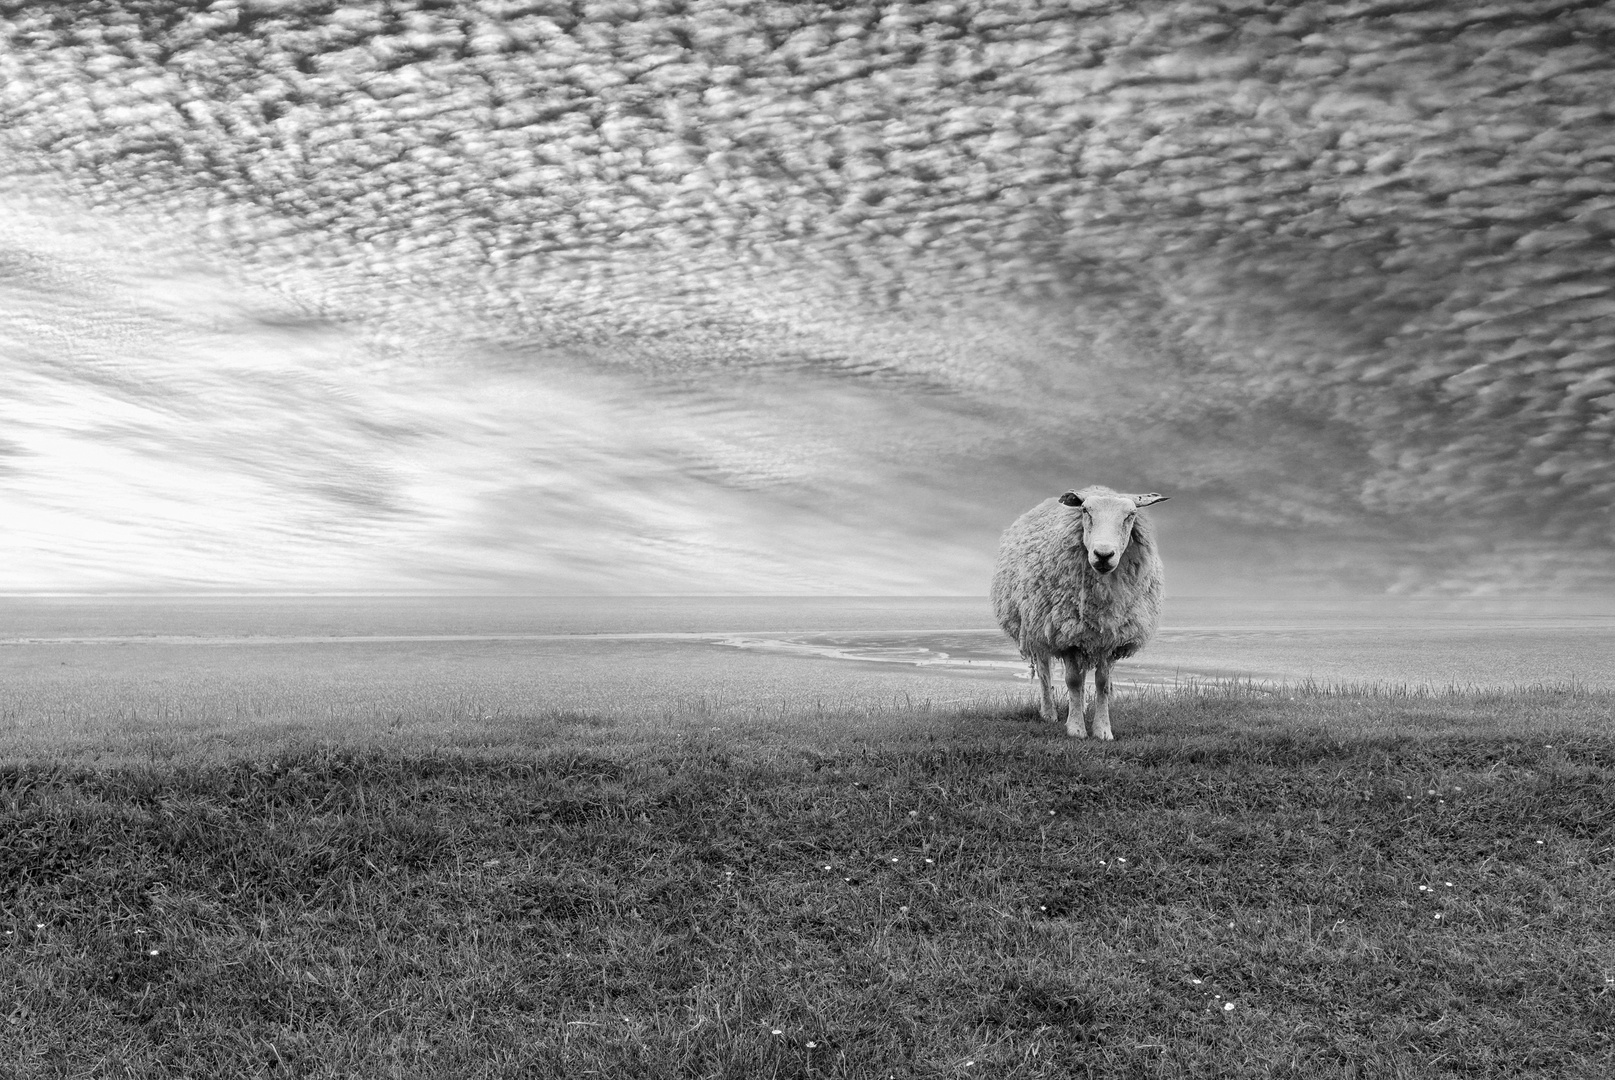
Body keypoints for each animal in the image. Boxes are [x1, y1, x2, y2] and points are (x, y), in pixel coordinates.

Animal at [988, 484, 1169, 736]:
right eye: (1085, 511)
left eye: (1130, 515)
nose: (1103, 555)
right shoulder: (1067, 635)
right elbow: (1073, 681)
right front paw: (1076, 729)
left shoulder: (1110, 639)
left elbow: (1102, 684)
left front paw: (1102, 730)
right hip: (1038, 628)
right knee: (1044, 672)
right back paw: (1049, 713)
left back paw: (1080, 707)